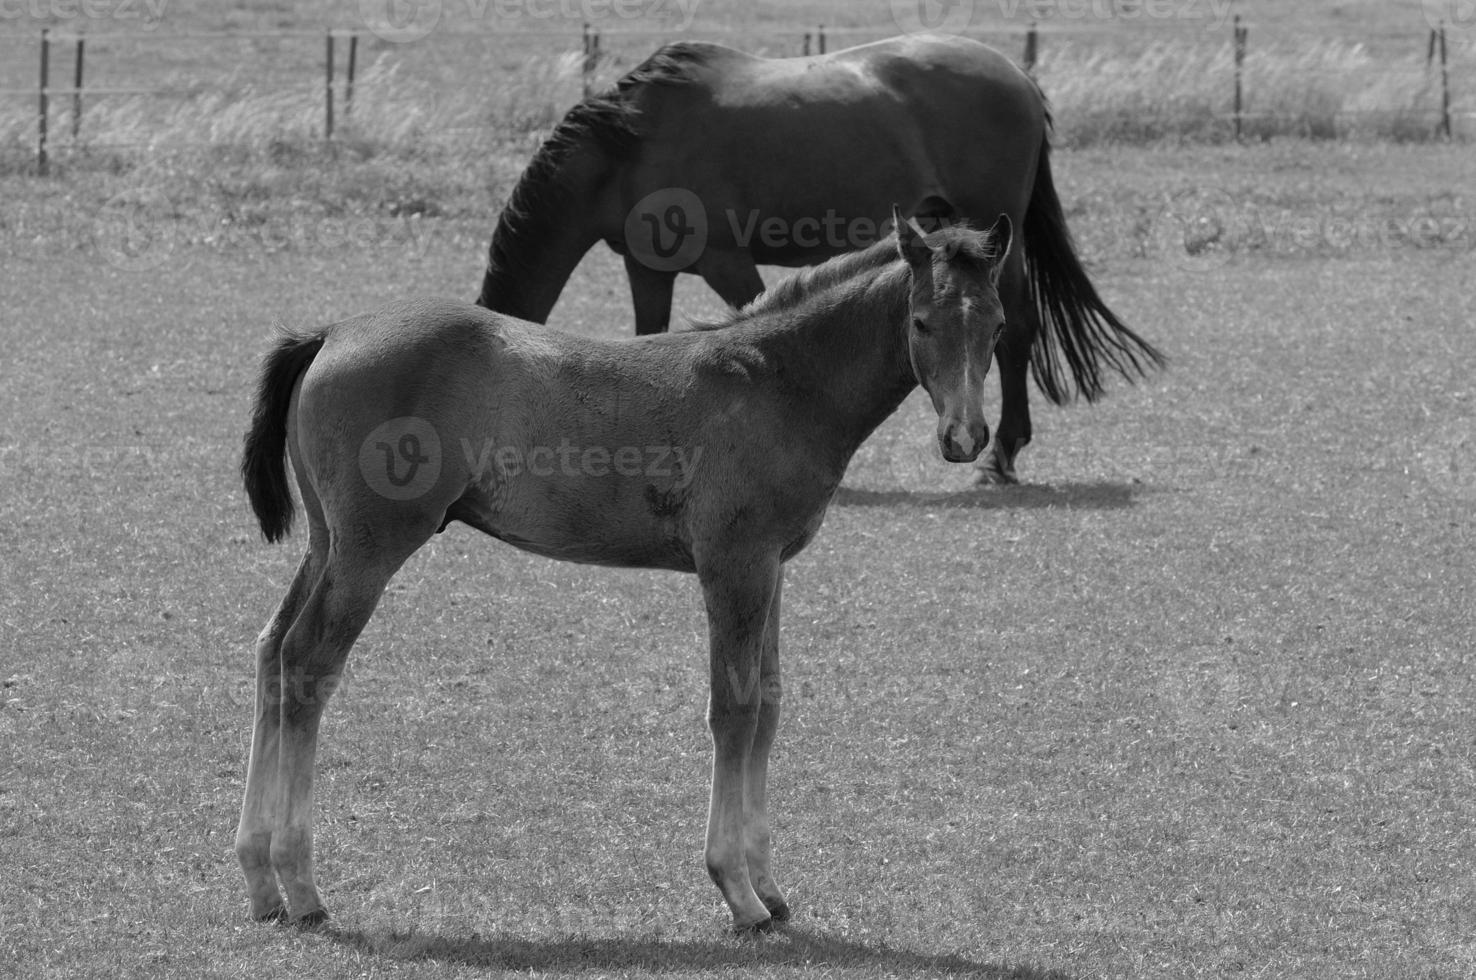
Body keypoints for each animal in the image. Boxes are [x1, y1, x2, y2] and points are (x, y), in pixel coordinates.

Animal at [236, 208, 1015, 932]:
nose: (965, 437)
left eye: (999, 324)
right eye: (921, 322)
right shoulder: (734, 565)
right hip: (371, 549)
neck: (779, 381)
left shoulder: (772, 568)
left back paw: (261, 882)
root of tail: (331, 333)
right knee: (308, 664)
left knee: (272, 652)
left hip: (327, 544)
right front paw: (737, 892)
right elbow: (734, 711)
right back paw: (302, 888)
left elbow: (768, 704)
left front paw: (768, 886)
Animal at [472, 32, 1163, 484]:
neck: (631, 144)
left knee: (1017, 332)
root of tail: (1018, 75)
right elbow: (648, 338)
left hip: (998, 232)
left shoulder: (724, 261)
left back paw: (1002, 458)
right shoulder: (647, 267)